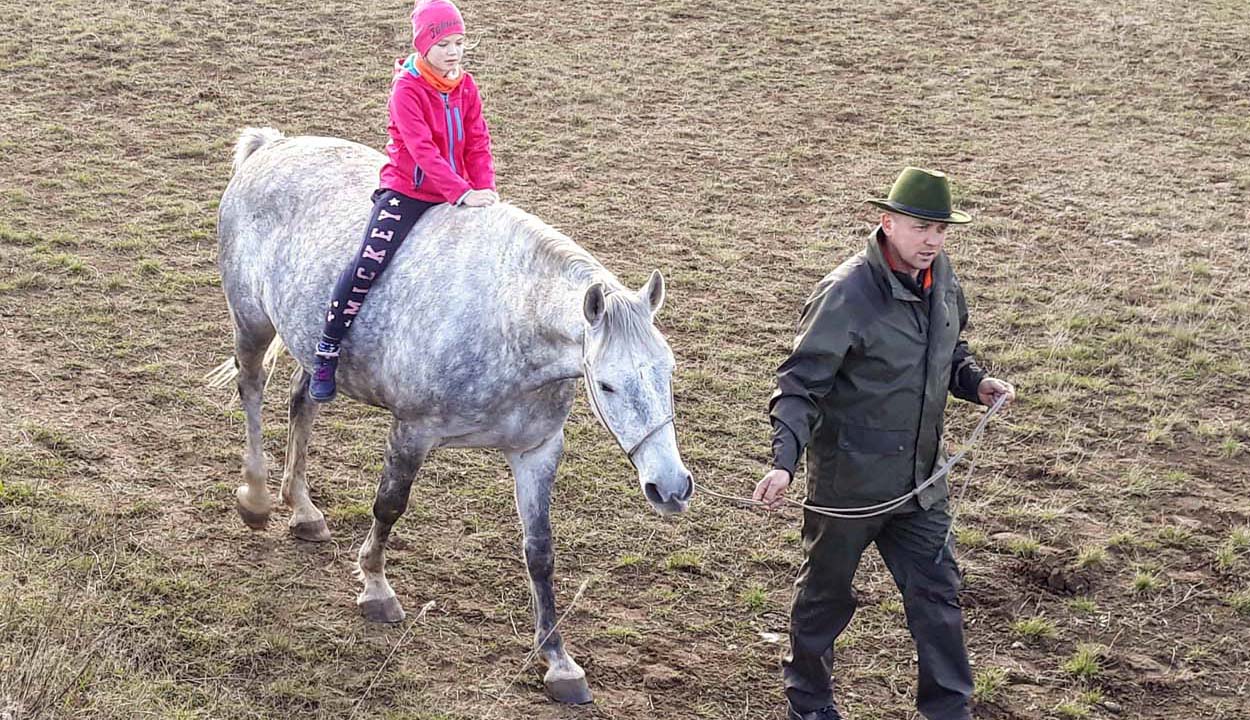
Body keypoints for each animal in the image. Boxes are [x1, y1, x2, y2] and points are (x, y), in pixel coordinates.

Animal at [208, 129, 690, 705]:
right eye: (607, 384)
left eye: (669, 370)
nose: (671, 487)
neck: (508, 320)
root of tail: (272, 146)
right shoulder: (411, 432)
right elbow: (389, 506)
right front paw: (376, 589)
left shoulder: (537, 450)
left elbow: (540, 549)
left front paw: (558, 660)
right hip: (251, 321)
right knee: (252, 391)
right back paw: (257, 500)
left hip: (311, 347)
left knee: (302, 401)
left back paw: (303, 511)